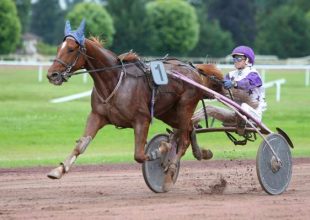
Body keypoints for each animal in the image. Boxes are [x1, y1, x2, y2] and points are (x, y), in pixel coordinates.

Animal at [46, 19, 223, 187]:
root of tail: (194, 70)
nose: (51, 74)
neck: (115, 82)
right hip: (168, 113)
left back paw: (169, 174)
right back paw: (202, 153)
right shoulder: (97, 116)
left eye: (71, 49)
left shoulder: (142, 119)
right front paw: (58, 170)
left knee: (184, 139)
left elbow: (140, 155)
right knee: (190, 128)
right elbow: (81, 145)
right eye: (58, 48)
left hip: (185, 106)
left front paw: (163, 148)